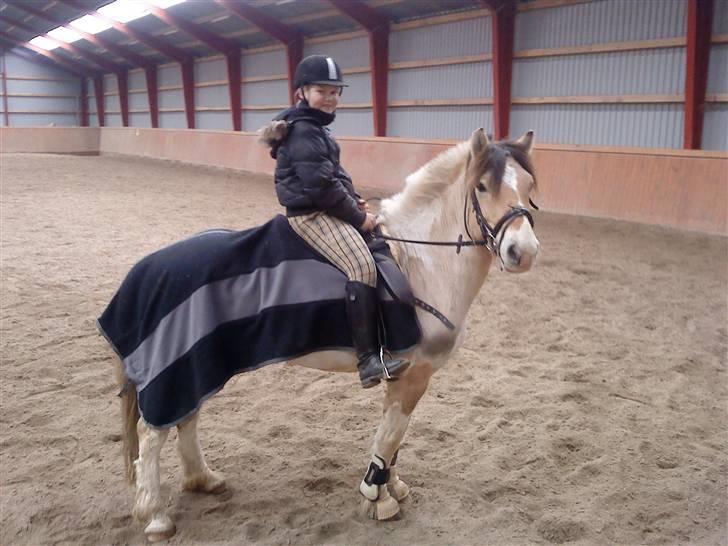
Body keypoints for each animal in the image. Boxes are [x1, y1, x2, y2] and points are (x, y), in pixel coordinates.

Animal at [109, 128, 540, 542]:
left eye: (529, 186)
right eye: (481, 187)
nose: (524, 252)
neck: (423, 264)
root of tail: (150, 267)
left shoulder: (402, 375)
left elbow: (393, 439)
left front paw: (392, 487)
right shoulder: (413, 375)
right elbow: (389, 437)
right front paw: (377, 498)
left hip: (199, 365)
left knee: (187, 420)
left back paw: (203, 479)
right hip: (178, 371)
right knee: (151, 435)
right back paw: (156, 516)